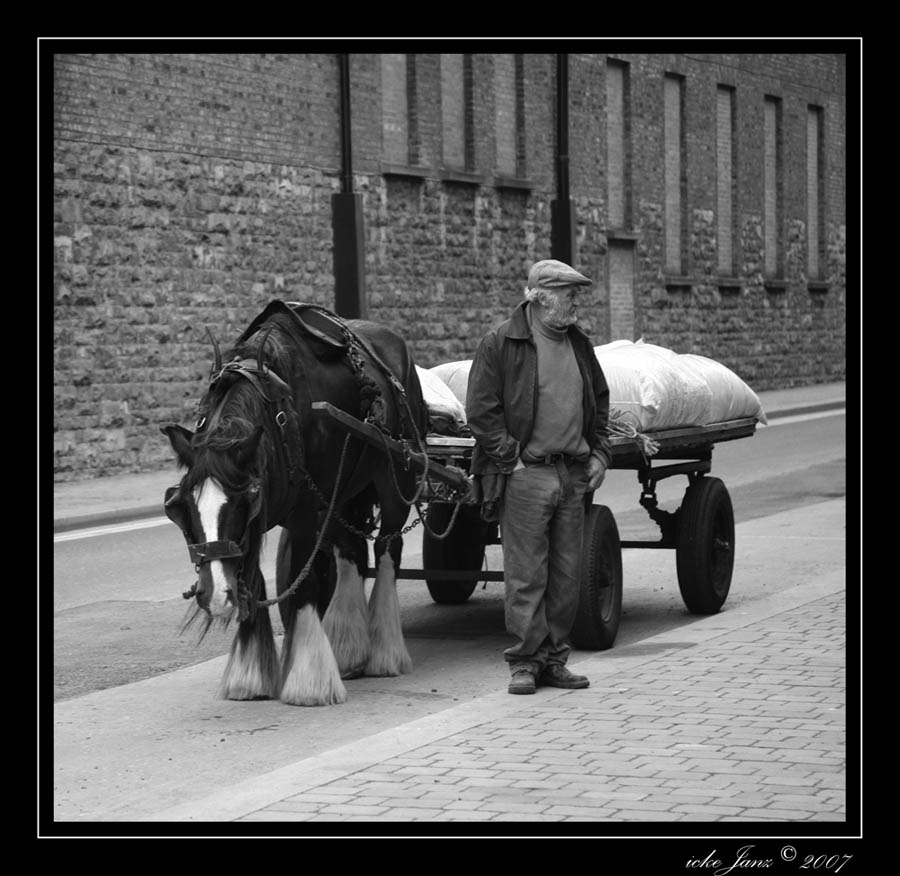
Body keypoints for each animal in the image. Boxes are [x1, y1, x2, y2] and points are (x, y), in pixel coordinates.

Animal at [161, 302, 428, 704]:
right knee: (350, 552)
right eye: (180, 508)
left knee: (387, 552)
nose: (214, 595)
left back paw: (385, 653)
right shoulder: (259, 522)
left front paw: (309, 681)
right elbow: (252, 582)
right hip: (342, 491)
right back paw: (348, 647)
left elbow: (304, 586)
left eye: (241, 502)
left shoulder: (302, 513)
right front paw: (249, 676)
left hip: (396, 478)